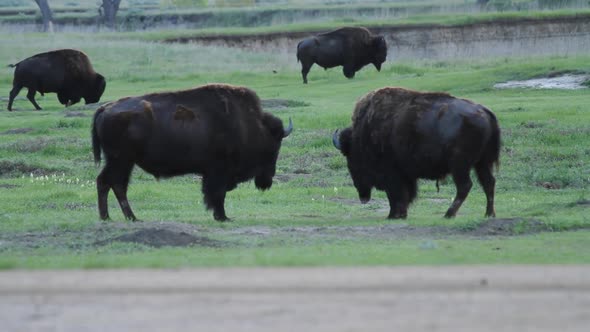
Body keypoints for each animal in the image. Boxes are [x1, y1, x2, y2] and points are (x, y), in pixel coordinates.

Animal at [92, 84, 294, 222]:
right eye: (274, 147)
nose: (266, 181)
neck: (249, 125)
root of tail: (105, 108)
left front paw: (220, 216)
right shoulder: (218, 172)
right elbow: (217, 194)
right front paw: (222, 217)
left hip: (123, 162)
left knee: (113, 184)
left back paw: (119, 217)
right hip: (121, 160)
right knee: (110, 183)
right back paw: (118, 217)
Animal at [336, 87, 502, 219]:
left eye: (351, 160)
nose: (363, 197)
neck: (364, 135)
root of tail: (485, 112)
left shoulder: (394, 174)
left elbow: (396, 194)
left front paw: (394, 215)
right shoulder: (405, 175)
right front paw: (399, 214)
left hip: (460, 165)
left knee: (465, 186)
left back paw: (449, 214)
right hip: (481, 163)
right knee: (488, 183)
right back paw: (489, 214)